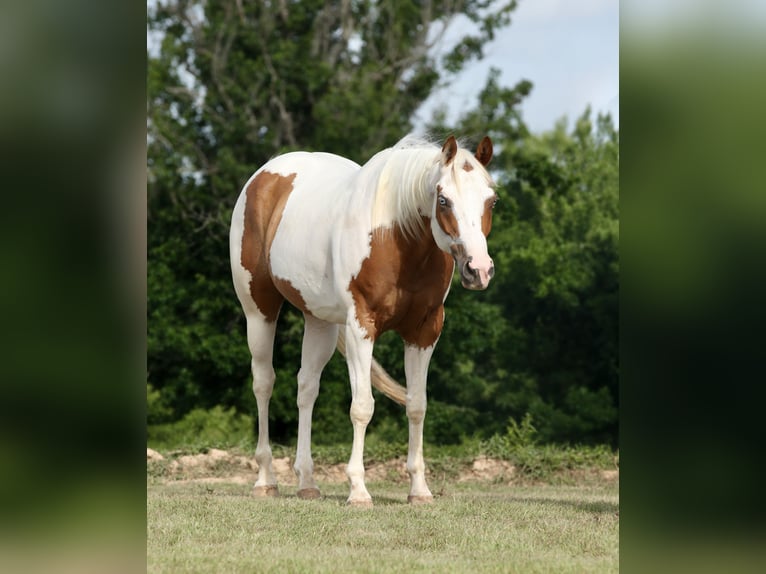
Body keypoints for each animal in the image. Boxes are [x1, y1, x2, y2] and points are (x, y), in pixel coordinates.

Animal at [229, 135, 497, 506]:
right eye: (443, 200)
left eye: (492, 200)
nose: (478, 270)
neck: (396, 237)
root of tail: (265, 176)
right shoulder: (361, 328)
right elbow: (362, 407)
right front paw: (358, 489)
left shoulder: (424, 331)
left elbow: (417, 405)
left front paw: (419, 489)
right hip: (259, 311)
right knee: (263, 383)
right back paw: (266, 479)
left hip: (319, 322)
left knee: (306, 388)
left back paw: (307, 482)